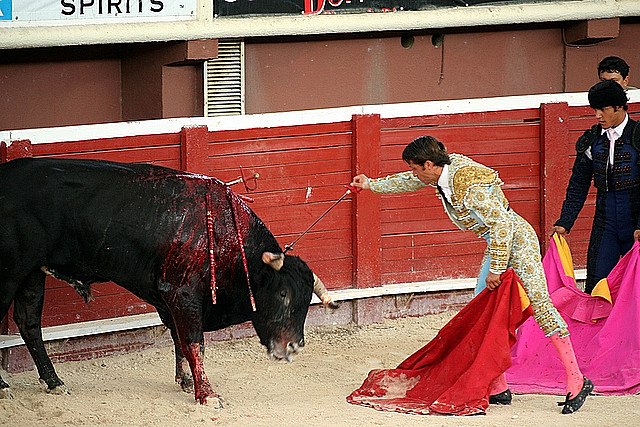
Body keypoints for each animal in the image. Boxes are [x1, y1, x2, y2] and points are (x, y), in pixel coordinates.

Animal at [0, 159, 338, 406]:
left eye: (306, 299)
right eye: (282, 293)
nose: (294, 345)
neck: (227, 240)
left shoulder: (172, 300)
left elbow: (179, 339)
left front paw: (186, 381)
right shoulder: (183, 295)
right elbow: (193, 343)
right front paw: (207, 394)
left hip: (32, 273)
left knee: (29, 322)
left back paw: (54, 381)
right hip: (9, 272)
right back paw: (6, 386)